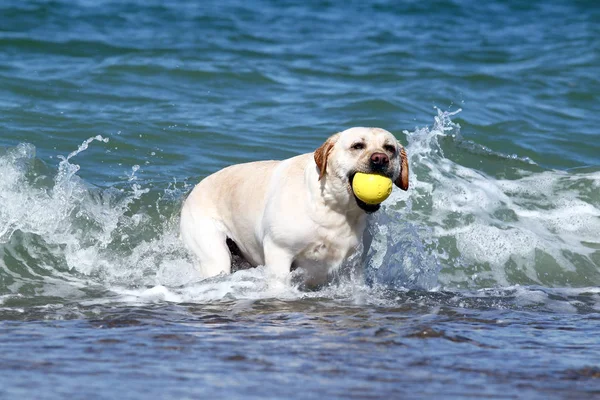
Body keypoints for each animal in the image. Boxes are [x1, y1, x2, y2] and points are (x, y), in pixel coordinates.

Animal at [180, 126, 410, 286]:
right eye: (357, 146)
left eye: (390, 148)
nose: (380, 159)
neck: (335, 208)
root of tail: (194, 190)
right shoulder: (279, 251)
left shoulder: (353, 266)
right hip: (212, 251)